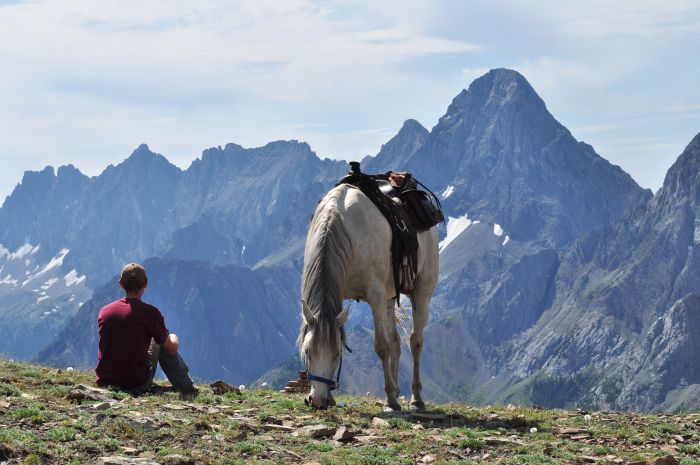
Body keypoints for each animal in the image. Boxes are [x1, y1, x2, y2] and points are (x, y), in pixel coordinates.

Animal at [298, 181, 440, 410]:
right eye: (308, 351)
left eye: (337, 354)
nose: (318, 401)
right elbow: (388, 344)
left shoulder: (376, 296)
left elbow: (382, 346)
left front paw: (390, 401)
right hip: (390, 297)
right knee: (396, 342)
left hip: (421, 293)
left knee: (415, 341)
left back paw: (416, 398)